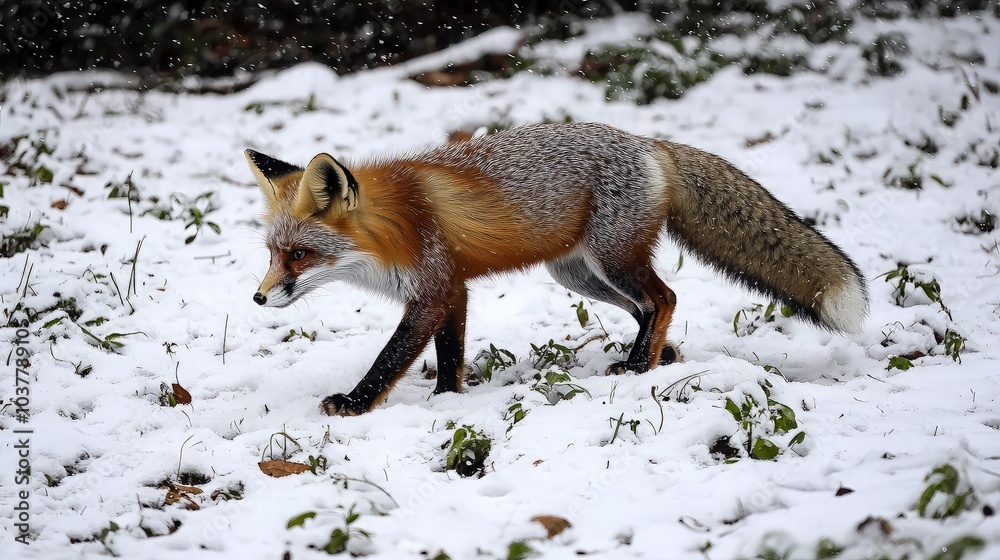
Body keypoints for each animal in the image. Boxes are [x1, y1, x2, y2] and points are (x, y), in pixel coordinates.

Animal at [246, 122, 868, 416]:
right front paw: (448, 400)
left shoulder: (432, 290)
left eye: (299, 254)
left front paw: (354, 404)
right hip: (580, 276)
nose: (258, 299)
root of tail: (649, 142)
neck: (395, 229)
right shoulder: (454, 289)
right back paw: (656, 356)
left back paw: (637, 367)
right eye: (272, 254)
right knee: (648, 309)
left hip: (612, 260)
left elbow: (390, 357)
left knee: (664, 298)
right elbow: (451, 356)